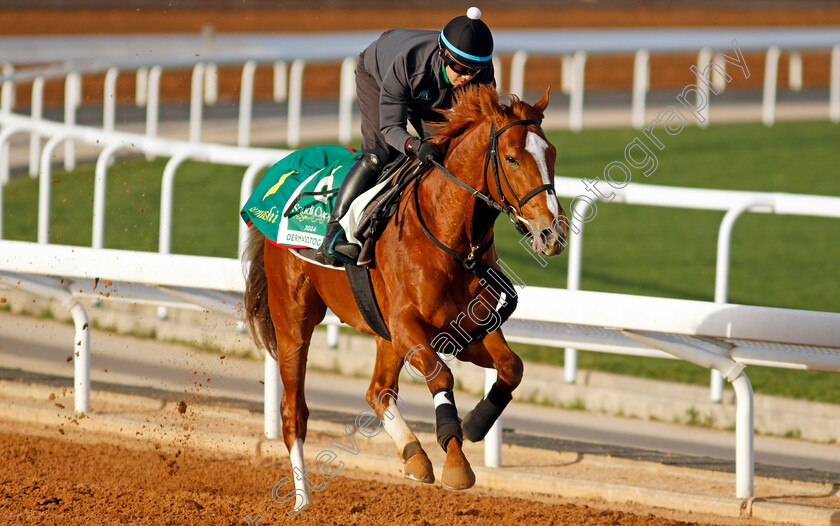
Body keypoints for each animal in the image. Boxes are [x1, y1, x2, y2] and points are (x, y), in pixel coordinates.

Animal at [243, 83, 572, 516]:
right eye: (512, 158)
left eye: (551, 154)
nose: (553, 232)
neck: (448, 237)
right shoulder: (408, 326)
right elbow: (442, 376)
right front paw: (456, 462)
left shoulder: (462, 331)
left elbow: (512, 367)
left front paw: (475, 423)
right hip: (293, 319)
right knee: (293, 411)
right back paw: (303, 501)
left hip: (384, 333)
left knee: (378, 390)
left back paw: (413, 455)